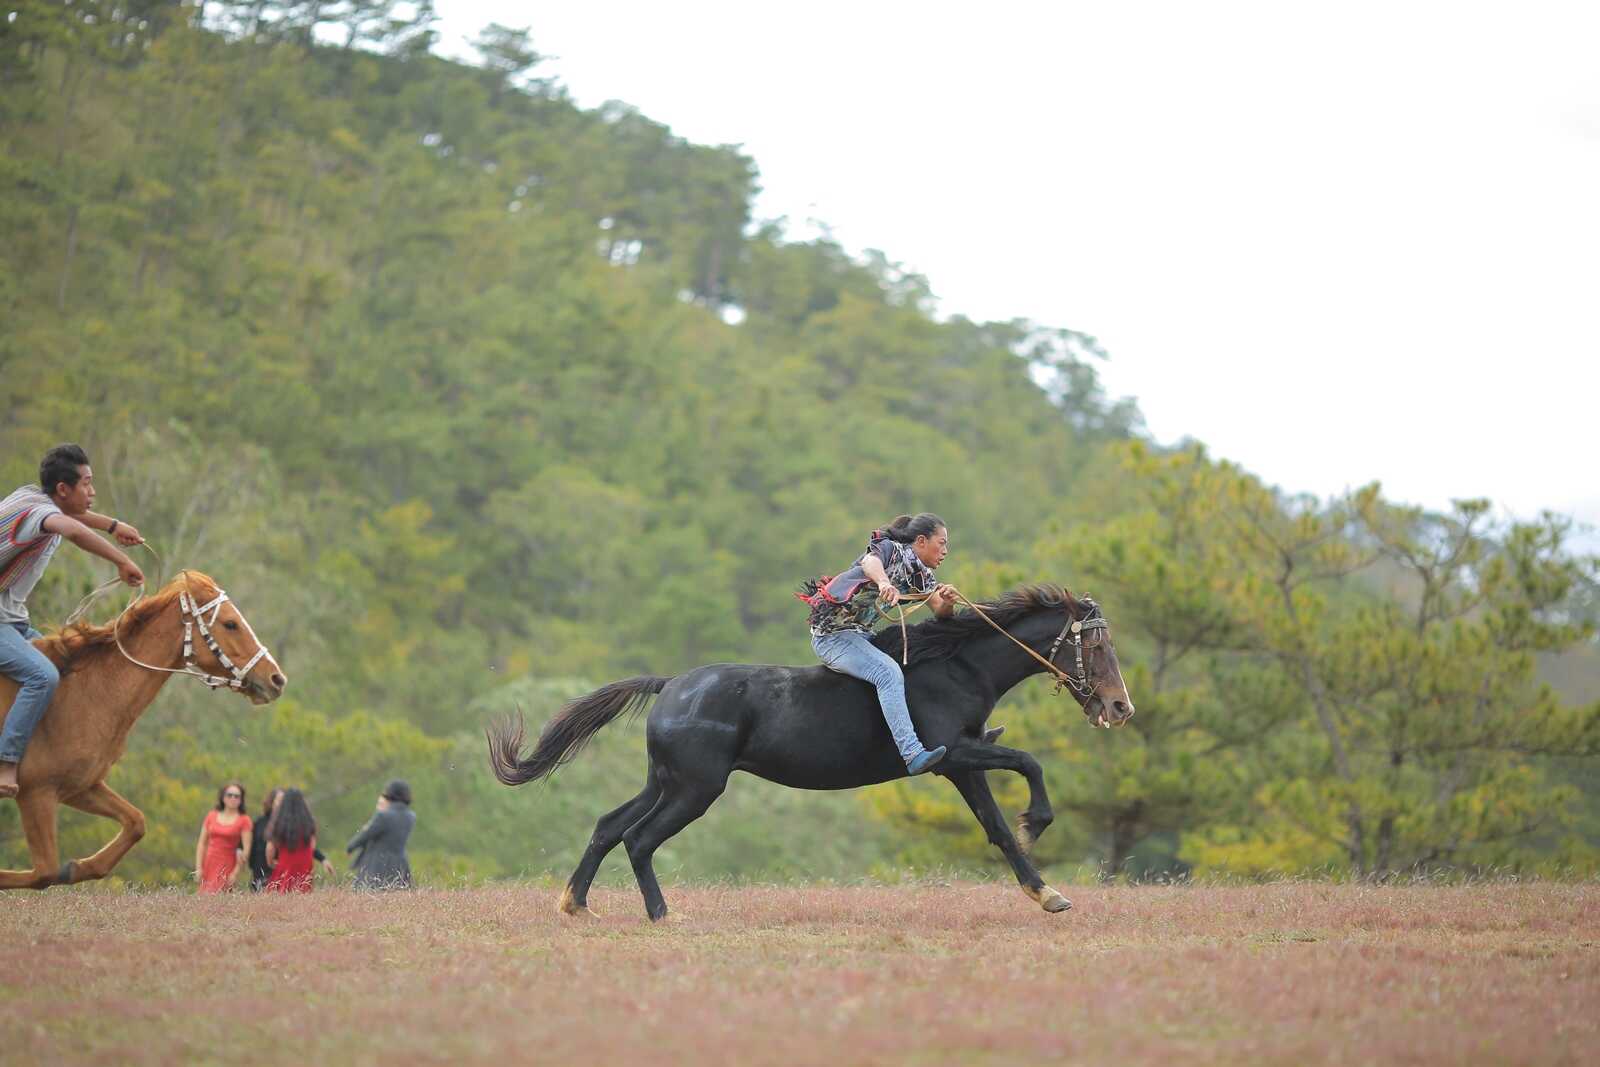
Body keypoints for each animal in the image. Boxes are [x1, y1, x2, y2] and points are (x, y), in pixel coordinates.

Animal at [0, 572, 284, 889]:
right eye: (230, 623)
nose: (276, 678)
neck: (83, 693)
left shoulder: (79, 787)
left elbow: (136, 823)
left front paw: (77, 867)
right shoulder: (36, 793)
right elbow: (45, 872)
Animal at [486, 585, 1139, 921]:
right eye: (1096, 645)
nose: (1119, 706)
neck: (956, 667)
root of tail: (671, 685)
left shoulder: (964, 766)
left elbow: (998, 830)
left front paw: (1046, 892)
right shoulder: (951, 756)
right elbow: (1028, 766)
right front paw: (1039, 823)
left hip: (665, 782)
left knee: (608, 826)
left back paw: (575, 903)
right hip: (697, 790)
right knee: (640, 839)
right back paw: (662, 914)